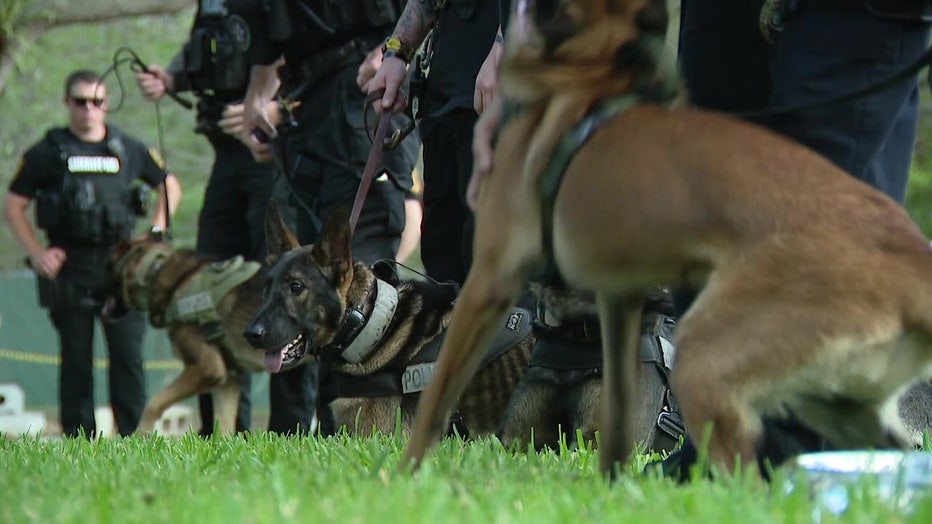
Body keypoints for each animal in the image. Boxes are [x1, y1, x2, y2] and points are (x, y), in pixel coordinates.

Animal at [111, 237, 270, 434]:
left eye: (106, 267)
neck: (157, 271)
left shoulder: (207, 369)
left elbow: (153, 402)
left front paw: (140, 435)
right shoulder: (229, 380)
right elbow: (223, 427)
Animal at [404, 0, 932, 474]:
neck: (590, 79)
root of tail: (910, 258)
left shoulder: (491, 277)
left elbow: (433, 405)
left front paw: (404, 480)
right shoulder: (618, 302)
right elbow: (615, 428)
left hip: (708, 361)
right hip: (838, 404)